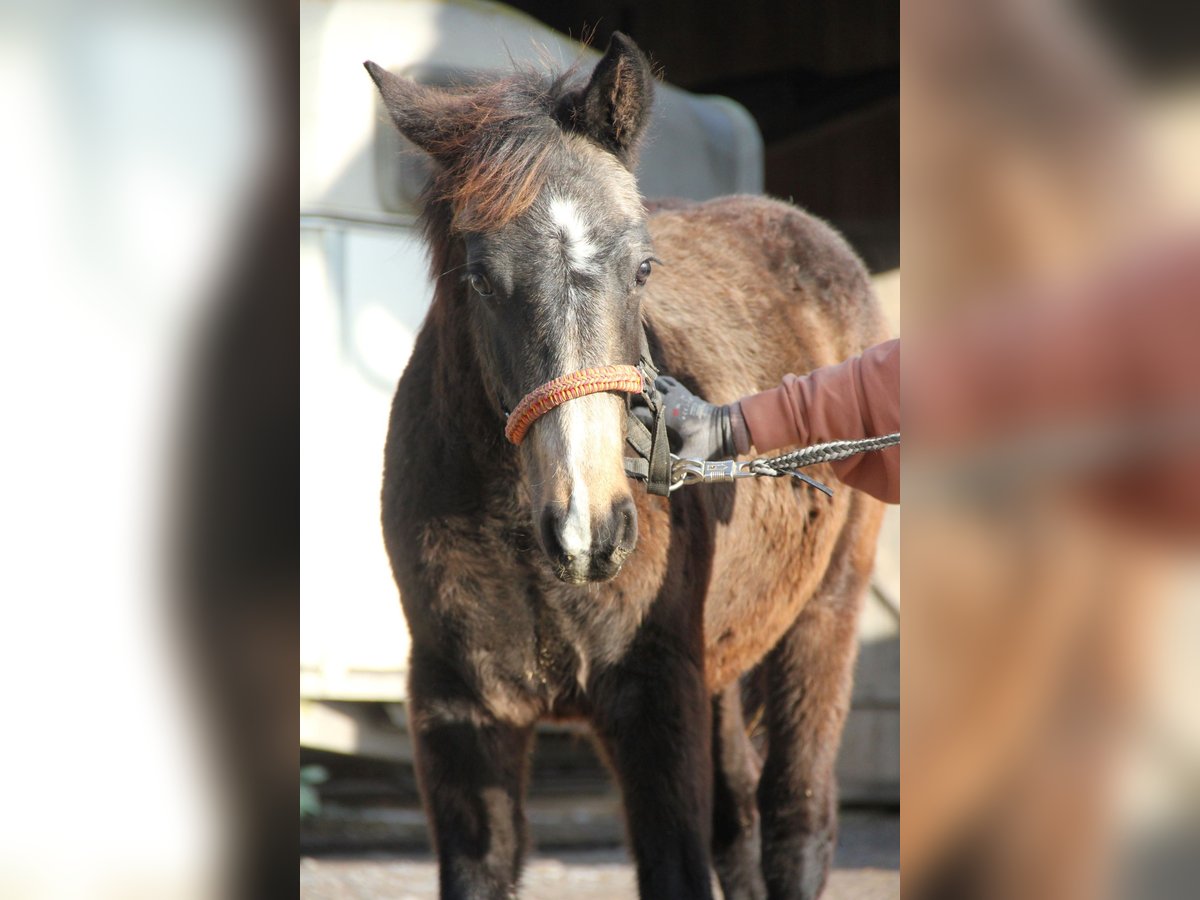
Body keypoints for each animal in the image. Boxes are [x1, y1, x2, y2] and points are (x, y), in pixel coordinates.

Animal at [362, 33, 883, 900]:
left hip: (824, 616)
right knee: (739, 823)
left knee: (796, 823)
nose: (588, 530)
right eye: (479, 278)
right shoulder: (460, 712)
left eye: (643, 268)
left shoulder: (653, 705)